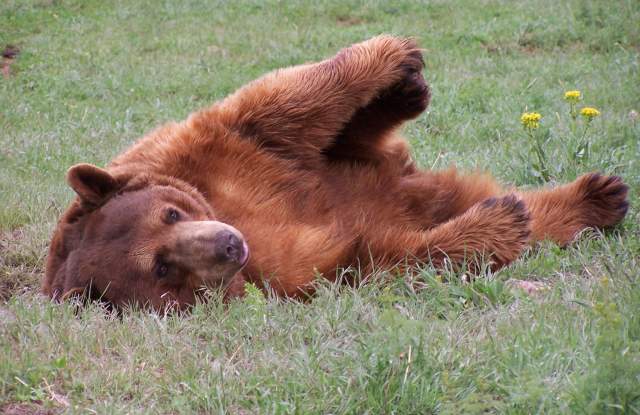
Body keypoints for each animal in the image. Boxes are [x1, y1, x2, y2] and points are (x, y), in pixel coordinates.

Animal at [43, 35, 629, 310]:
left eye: (170, 212)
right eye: (161, 269)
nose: (229, 243)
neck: (230, 210)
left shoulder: (197, 155)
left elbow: (277, 112)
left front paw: (397, 59)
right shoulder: (286, 273)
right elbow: (373, 259)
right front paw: (491, 227)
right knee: (507, 213)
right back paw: (555, 205)